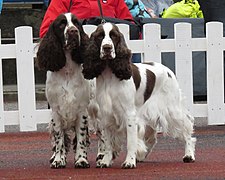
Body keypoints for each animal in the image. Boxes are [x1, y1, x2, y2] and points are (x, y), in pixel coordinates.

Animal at [81, 22, 196, 169]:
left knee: (187, 128)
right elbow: (107, 143)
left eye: (113, 36)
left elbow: (131, 142)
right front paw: (105, 161)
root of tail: (168, 70)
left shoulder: (129, 114)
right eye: (100, 36)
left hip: (172, 110)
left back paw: (189, 155)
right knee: (152, 137)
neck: (109, 74)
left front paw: (129, 162)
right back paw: (142, 155)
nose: (107, 48)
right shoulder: (106, 115)